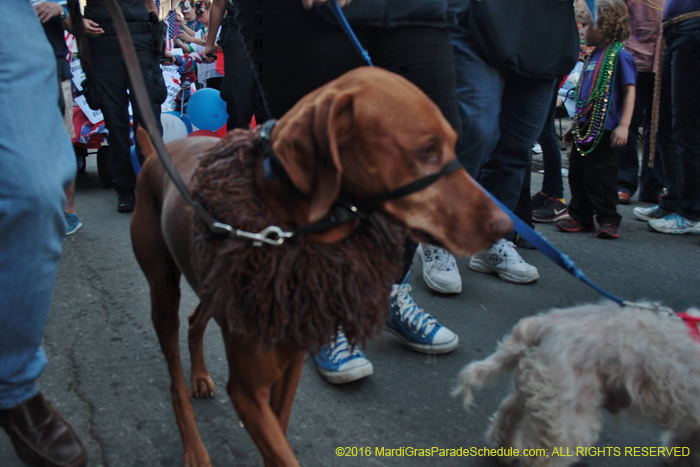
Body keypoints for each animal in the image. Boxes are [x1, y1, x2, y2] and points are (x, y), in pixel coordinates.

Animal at [131, 66, 512, 467]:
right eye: (426, 150)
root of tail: (157, 153)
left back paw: (200, 377)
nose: (507, 226)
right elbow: (280, 452)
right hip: (163, 290)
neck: (289, 236)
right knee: (174, 376)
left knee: (195, 321)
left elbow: (279, 438)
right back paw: (193, 446)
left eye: (454, 143)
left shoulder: (290, 365)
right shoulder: (248, 388)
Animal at [454, 304, 700, 467]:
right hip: (569, 412)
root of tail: (544, 324)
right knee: (544, 455)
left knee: (507, 414)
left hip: (538, 389)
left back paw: (506, 450)